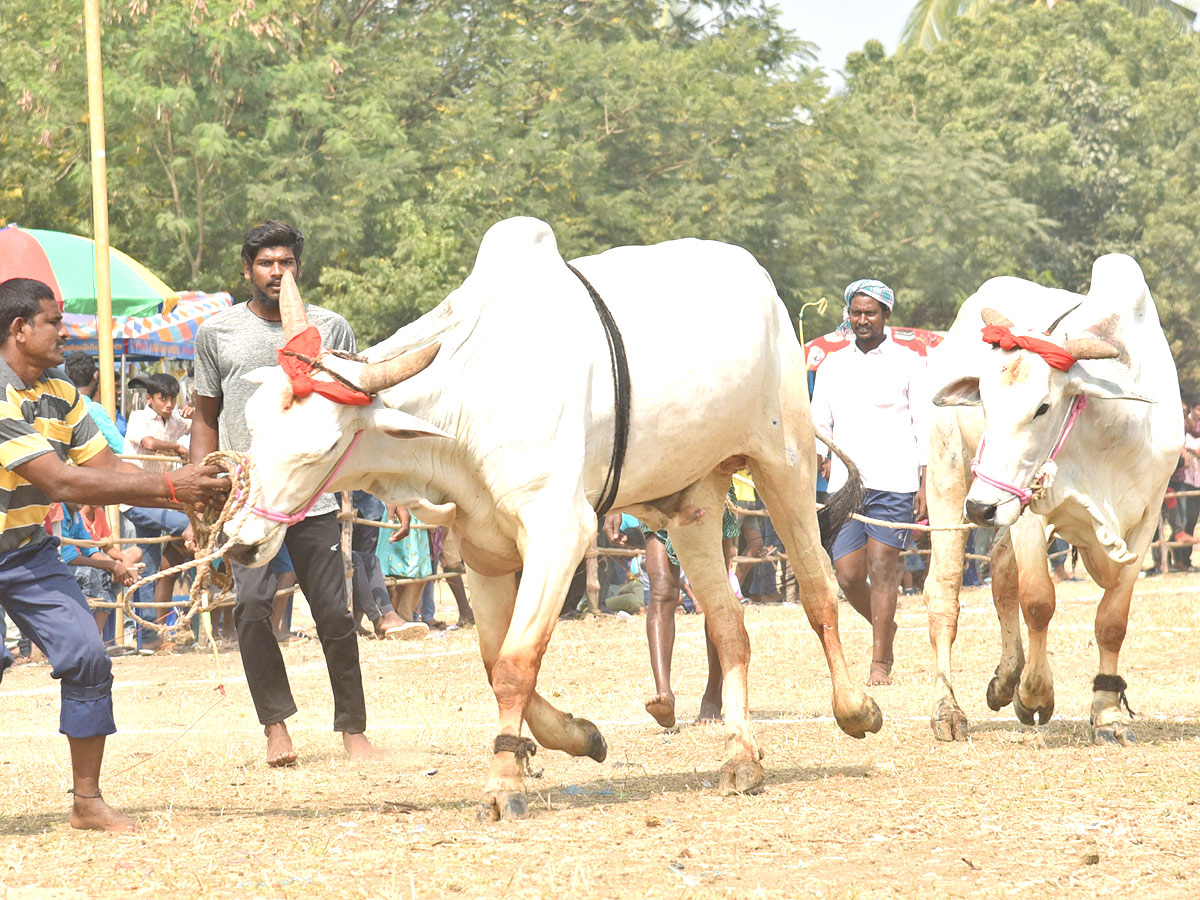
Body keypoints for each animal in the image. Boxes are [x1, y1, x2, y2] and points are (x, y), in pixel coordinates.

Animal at [223, 217, 883, 816]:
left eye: (325, 447)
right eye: (253, 425)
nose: (241, 543)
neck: (472, 400)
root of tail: (762, 283)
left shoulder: (561, 533)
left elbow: (516, 664)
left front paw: (503, 787)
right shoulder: (484, 552)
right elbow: (497, 662)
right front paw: (578, 736)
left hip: (785, 466)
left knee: (819, 594)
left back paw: (855, 709)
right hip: (693, 505)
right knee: (729, 628)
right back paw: (741, 756)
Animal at [916, 254, 1180, 748]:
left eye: (1042, 407)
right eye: (983, 401)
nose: (980, 509)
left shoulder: (1148, 517)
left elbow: (1112, 620)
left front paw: (1108, 713)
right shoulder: (1030, 511)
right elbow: (1038, 600)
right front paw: (1035, 694)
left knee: (1001, 573)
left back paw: (1005, 678)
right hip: (949, 474)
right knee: (944, 591)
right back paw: (949, 708)